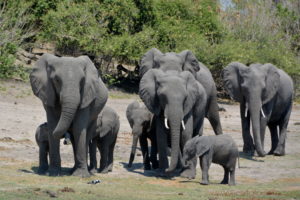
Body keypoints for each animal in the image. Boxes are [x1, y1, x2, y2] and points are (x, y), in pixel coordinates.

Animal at [139, 48, 221, 177]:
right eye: (162, 97)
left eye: (185, 98)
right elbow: (160, 134)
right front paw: (163, 172)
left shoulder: (189, 104)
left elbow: (186, 134)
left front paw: (187, 175)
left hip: (211, 93)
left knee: (211, 120)